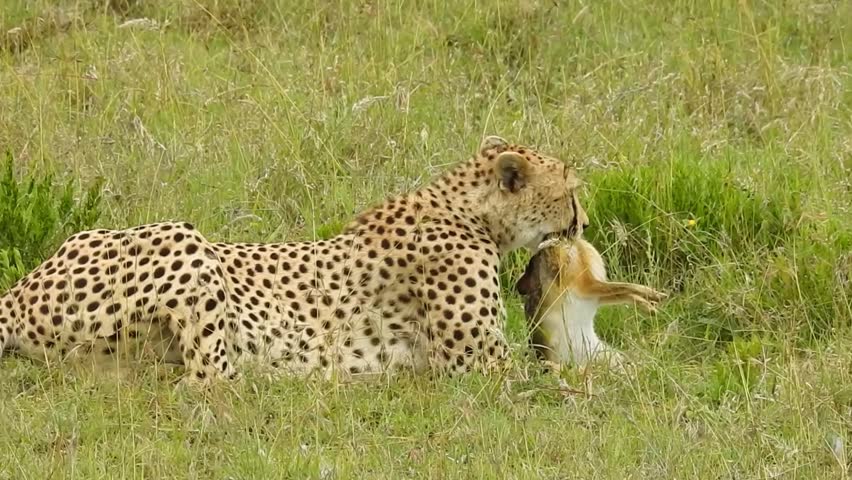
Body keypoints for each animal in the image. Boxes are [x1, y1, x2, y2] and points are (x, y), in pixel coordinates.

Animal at [0, 136, 589, 385]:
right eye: (572, 191)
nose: (583, 223)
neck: (466, 211)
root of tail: (21, 286)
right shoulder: (477, 363)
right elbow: (557, 373)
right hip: (183, 239)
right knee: (209, 381)